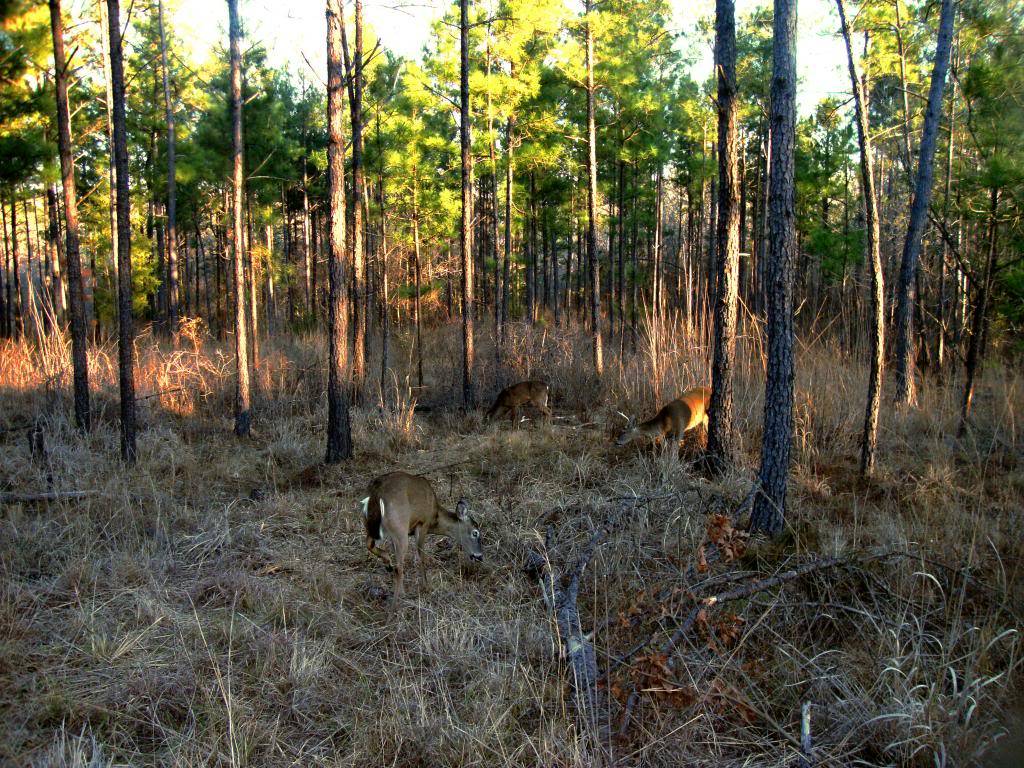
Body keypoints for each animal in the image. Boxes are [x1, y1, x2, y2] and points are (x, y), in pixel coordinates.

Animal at [360, 468, 483, 606]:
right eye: (475, 532)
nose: (479, 556)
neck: (435, 516)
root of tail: (376, 494)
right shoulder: (422, 524)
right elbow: (421, 556)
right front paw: (426, 587)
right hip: (400, 527)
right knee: (399, 566)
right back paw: (397, 602)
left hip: (372, 525)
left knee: (370, 545)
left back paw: (389, 565)